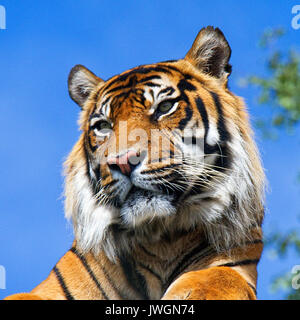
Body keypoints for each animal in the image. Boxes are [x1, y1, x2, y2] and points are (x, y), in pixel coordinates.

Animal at [5, 26, 264, 300]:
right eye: (103, 126)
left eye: (165, 107)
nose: (122, 162)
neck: (162, 238)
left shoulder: (233, 264)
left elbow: (213, 280)